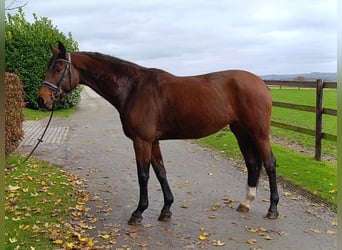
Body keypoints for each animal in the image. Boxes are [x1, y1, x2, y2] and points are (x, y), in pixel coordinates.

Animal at [36, 42, 278, 226]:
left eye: (58, 68)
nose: (41, 99)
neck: (133, 88)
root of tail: (260, 83)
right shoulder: (153, 142)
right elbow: (161, 172)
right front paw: (166, 209)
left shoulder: (141, 141)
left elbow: (143, 175)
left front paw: (138, 212)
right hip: (241, 132)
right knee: (252, 163)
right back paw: (246, 203)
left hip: (259, 133)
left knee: (269, 163)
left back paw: (272, 209)